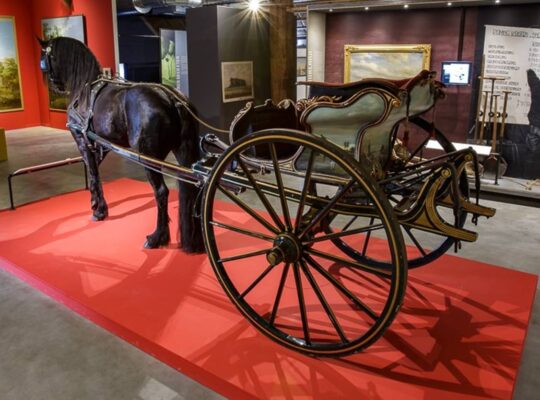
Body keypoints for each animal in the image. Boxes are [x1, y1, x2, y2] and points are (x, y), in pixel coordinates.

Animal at [39, 38, 205, 253]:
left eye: (45, 57)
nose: (54, 84)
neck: (84, 89)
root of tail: (172, 98)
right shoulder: (103, 145)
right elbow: (95, 172)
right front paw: (98, 205)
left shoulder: (82, 140)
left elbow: (93, 174)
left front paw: (98, 210)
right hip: (183, 150)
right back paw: (194, 240)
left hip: (148, 157)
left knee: (161, 192)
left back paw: (157, 237)